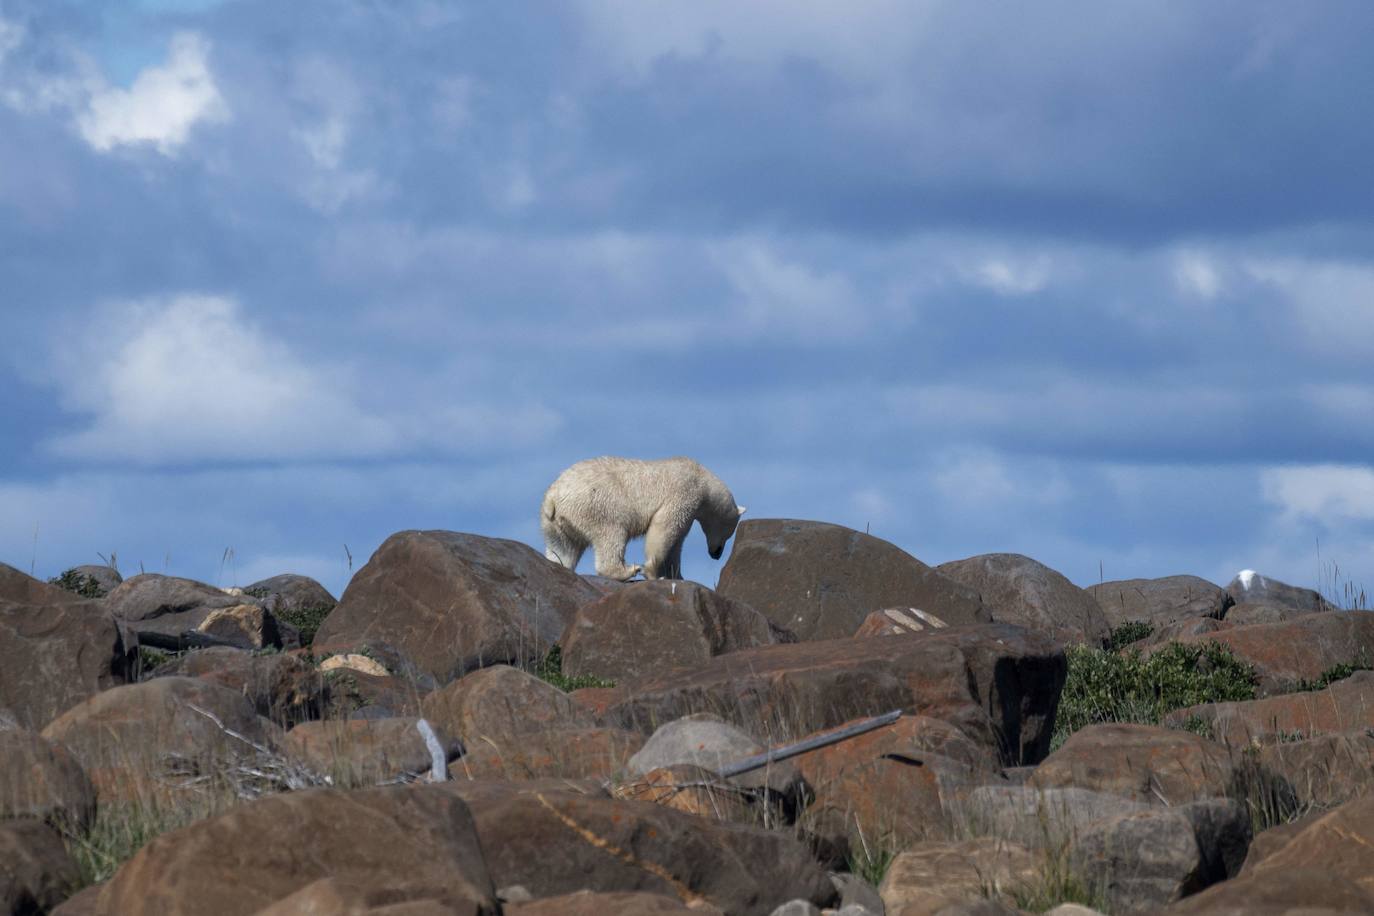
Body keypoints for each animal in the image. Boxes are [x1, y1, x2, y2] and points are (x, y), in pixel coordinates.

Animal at [540, 456, 746, 581]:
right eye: (729, 533)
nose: (716, 554)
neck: (702, 478)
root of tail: (554, 497)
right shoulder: (684, 492)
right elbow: (664, 530)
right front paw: (653, 572)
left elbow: (676, 543)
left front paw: (677, 575)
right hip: (597, 505)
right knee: (611, 535)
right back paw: (627, 570)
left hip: (556, 523)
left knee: (563, 547)